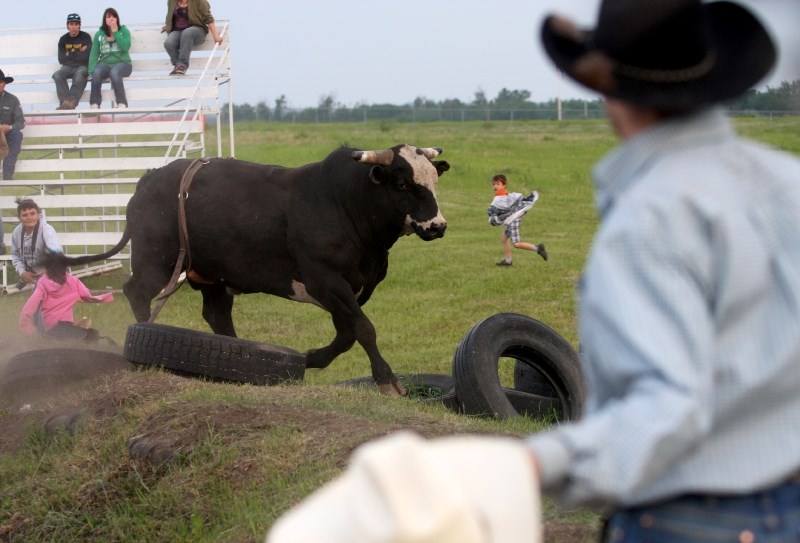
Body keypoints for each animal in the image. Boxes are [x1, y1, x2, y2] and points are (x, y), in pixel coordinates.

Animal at [61, 146, 450, 396]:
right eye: (402, 183)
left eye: (434, 181)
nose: (437, 226)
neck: (344, 203)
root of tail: (150, 178)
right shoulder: (325, 280)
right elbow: (364, 330)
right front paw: (387, 379)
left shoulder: (353, 289)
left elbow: (347, 334)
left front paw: (310, 358)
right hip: (156, 260)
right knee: (137, 291)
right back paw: (146, 335)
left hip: (211, 275)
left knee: (216, 314)